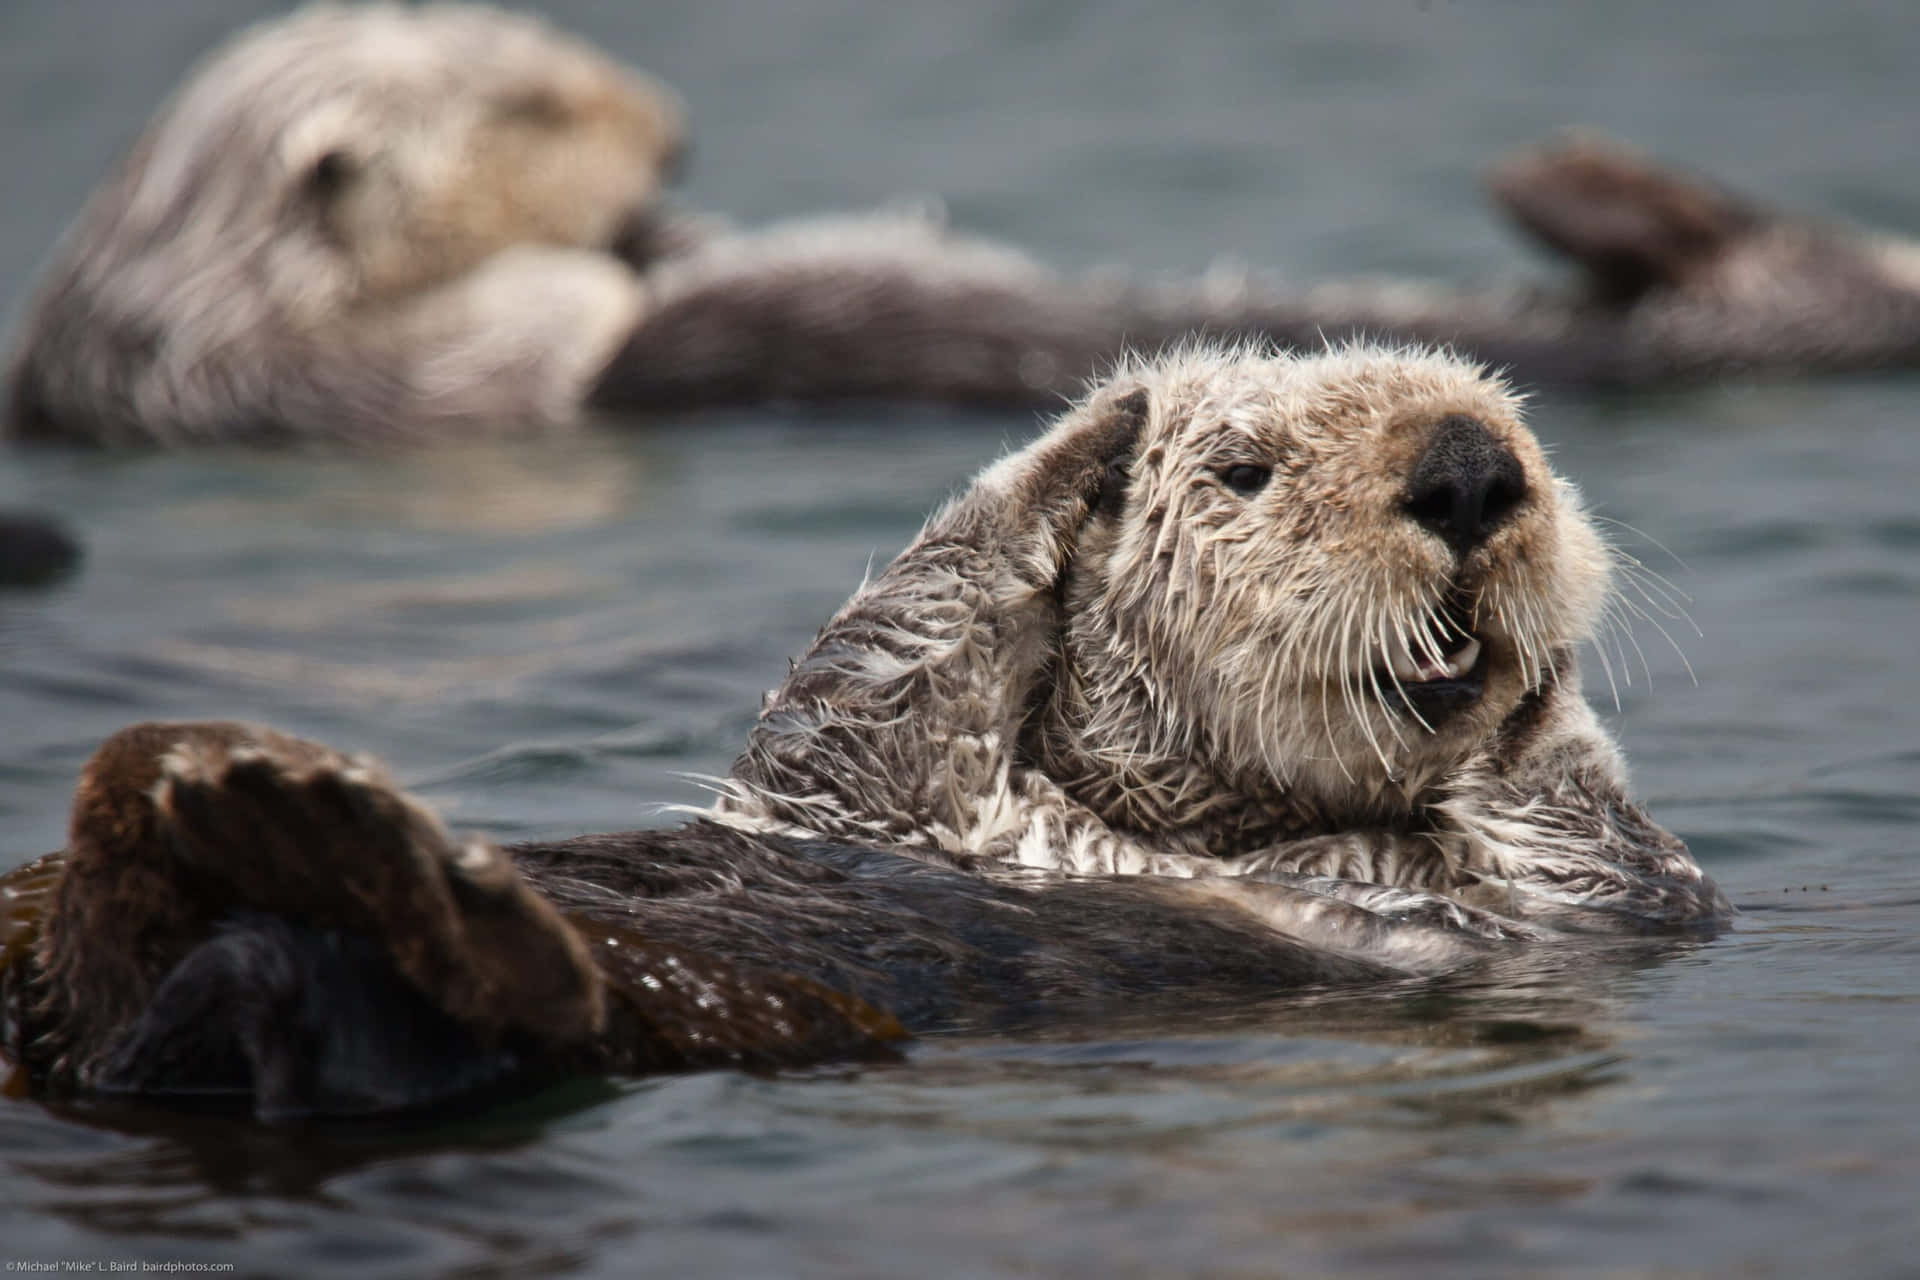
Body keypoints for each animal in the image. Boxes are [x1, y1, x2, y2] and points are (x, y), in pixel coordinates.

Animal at [0, 345, 1728, 1113]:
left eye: (1513, 423)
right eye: (1245, 470)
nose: (1471, 467)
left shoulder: (1581, 891)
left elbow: (1578, 812)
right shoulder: (854, 795)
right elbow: (868, 680)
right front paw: (1098, 425)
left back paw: (323, 836)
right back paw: (228, 795)